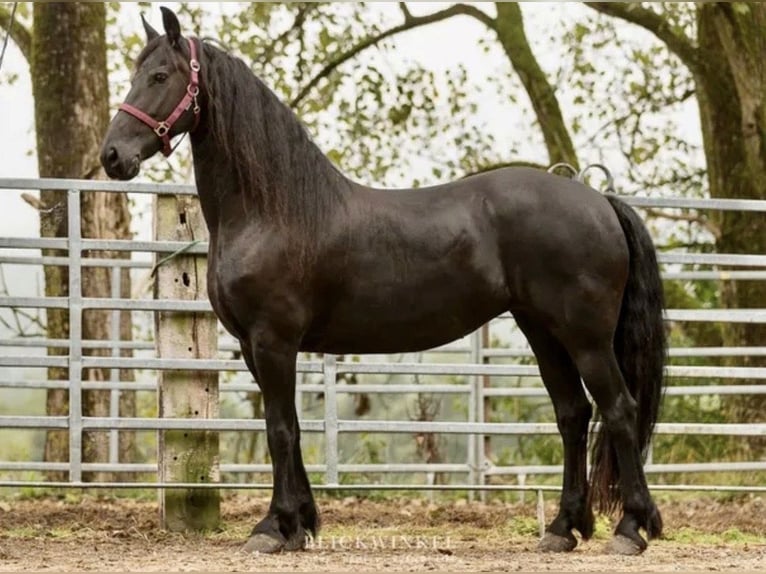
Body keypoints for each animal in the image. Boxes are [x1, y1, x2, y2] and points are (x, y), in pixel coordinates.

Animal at [100, 7, 666, 556]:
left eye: (159, 76)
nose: (112, 156)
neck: (272, 211)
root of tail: (598, 200)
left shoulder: (273, 340)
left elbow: (279, 430)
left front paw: (273, 527)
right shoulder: (251, 345)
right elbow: (293, 429)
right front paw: (300, 525)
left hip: (585, 336)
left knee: (618, 409)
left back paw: (630, 528)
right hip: (542, 330)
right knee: (572, 414)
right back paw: (562, 528)